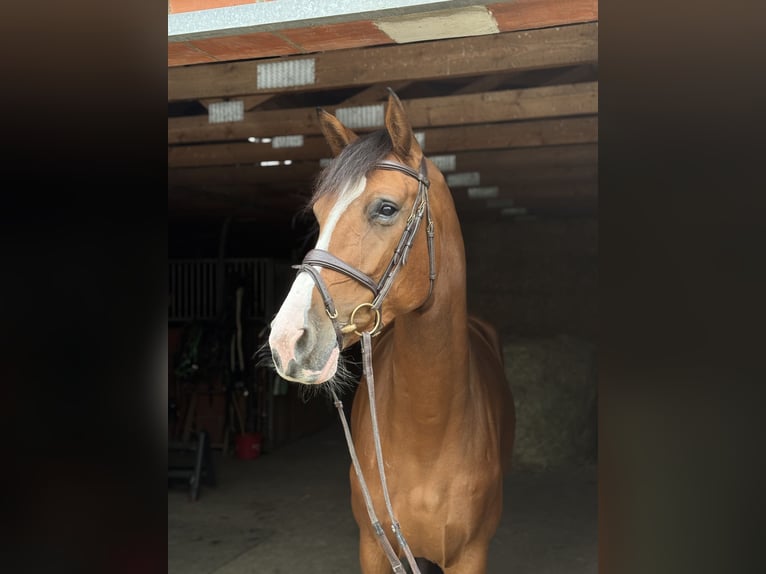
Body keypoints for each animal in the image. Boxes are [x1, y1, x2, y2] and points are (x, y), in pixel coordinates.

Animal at [270, 90, 516, 574]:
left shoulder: (471, 556)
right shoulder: (373, 547)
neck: (428, 433)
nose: (286, 340)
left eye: (385, 208)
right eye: (319, 214)